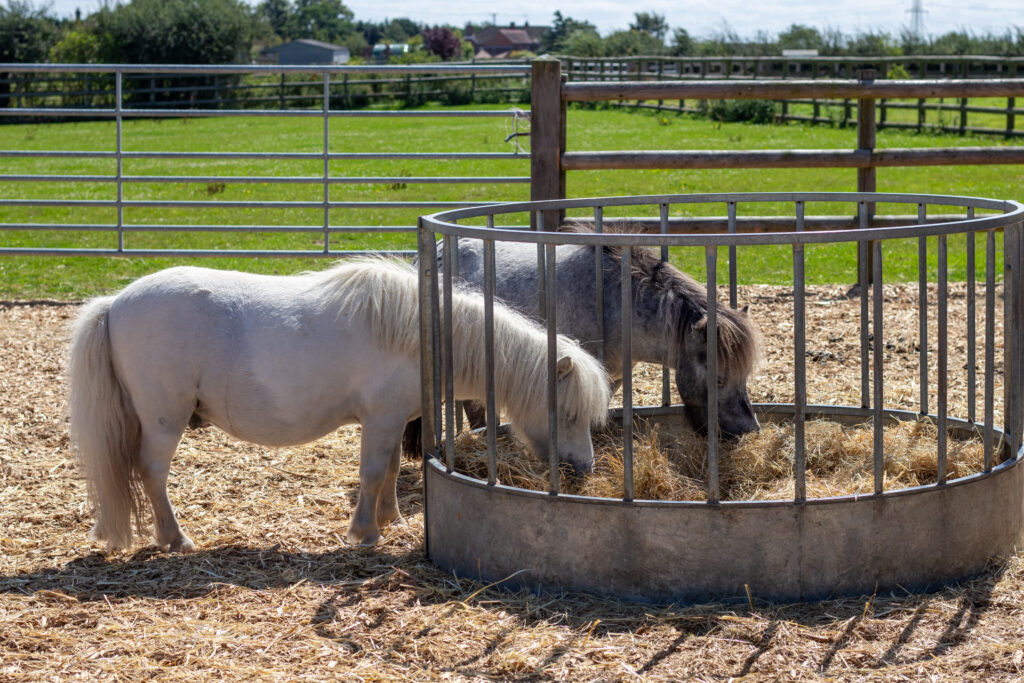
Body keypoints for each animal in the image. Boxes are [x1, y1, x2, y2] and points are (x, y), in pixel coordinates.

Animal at [68, 258, 610, 552]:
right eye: (568, 414)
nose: (583, 470)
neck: (418, 334)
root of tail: (115, 303)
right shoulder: (381, 419)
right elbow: (370, 473)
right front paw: (364, 533)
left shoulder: (391, 422)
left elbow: (387, 471)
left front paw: (390, 519)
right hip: (165, 420)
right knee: (152, 472)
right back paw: (174, 539)